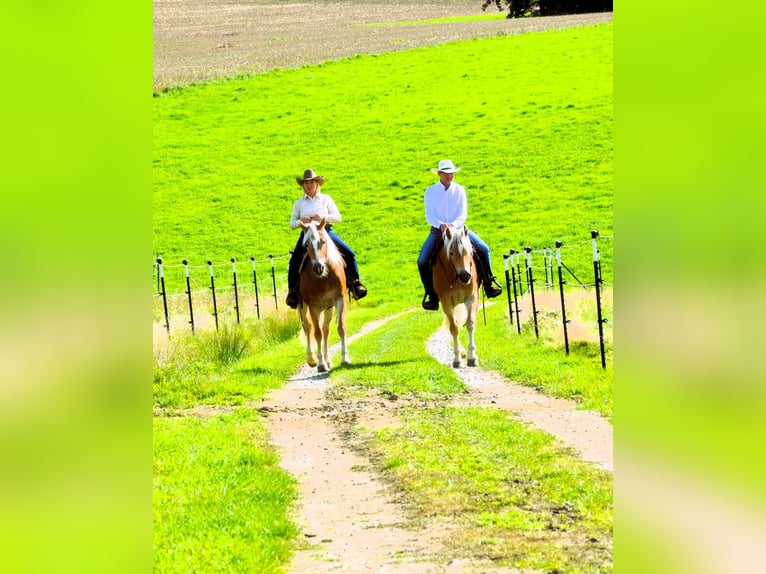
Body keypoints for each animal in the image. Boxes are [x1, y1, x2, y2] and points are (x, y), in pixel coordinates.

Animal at [300, 217, 352, 374]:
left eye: (323, 241)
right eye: (306, 244)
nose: (318, 267)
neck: (324, 277)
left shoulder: (339, 299)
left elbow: (341, 327)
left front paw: (345, 359)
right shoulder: (313, 307)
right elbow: (317, 333)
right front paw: (321, 364)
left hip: (328, 308)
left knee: (326, 330)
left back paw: (328, 360)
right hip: (303, 307)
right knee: (308, 327)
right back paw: (312, 359)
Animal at [432, 226, 480, 368]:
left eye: (469, 251)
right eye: (452, 253)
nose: (465, 276)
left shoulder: (472, 298)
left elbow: (470, 324)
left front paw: (472, 357)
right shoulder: (446, 302)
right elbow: (454, 328)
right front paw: (457, 359)